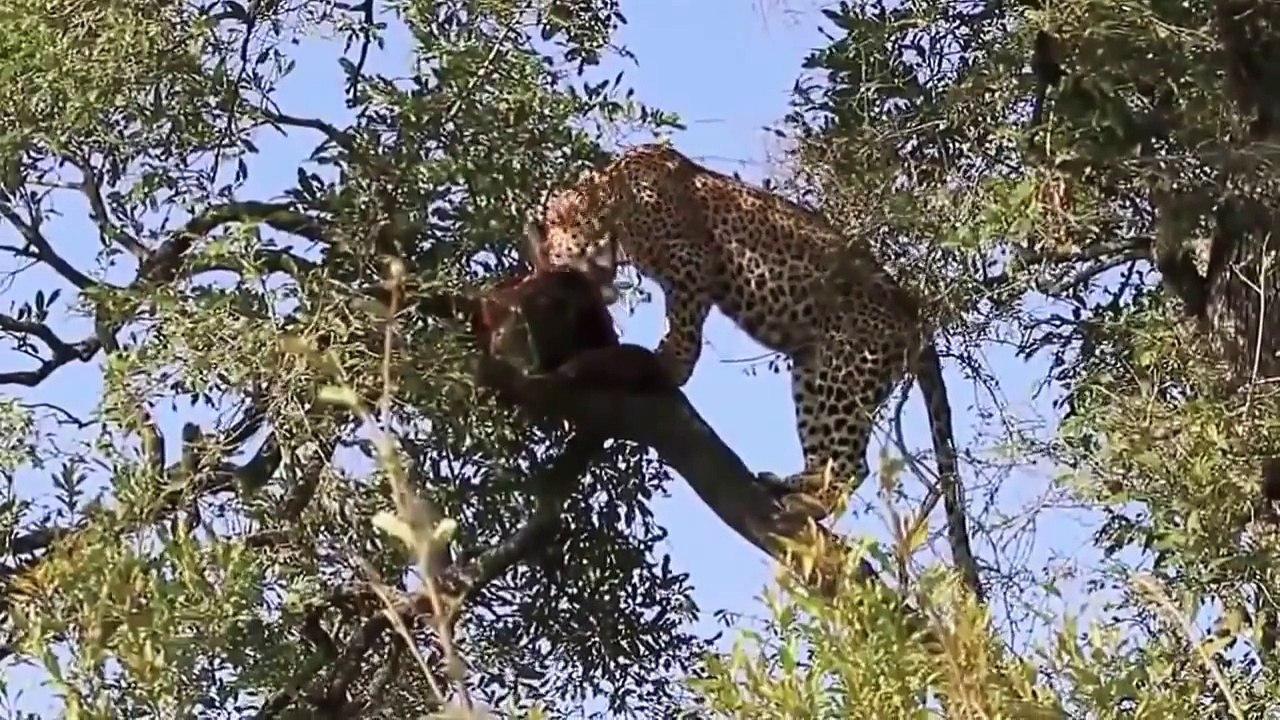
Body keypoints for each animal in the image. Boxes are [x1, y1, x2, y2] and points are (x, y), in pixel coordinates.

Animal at [523, 142, 981, 597]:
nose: (575, 280)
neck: (611, 200)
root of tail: (915, 317)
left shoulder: (690, 263)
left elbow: (683, 328)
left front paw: (667, 364)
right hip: (813, 371)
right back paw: (788, 485)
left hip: (843, 371)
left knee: (853, 465)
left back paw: (805, 502)